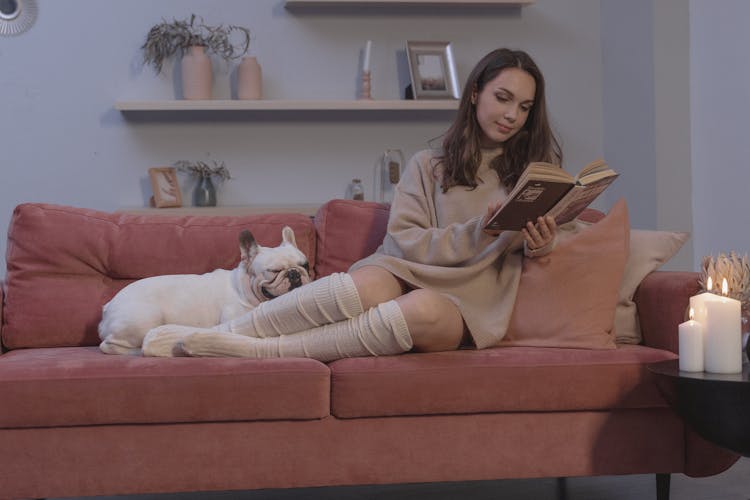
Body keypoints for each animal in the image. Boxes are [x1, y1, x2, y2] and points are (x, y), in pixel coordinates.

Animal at [99, 227, 312, 356]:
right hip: (143, 320)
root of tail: (107, 308)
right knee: (110, 347)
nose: (294, 273)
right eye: (274, 271)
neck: (243, 288)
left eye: (306, 266)